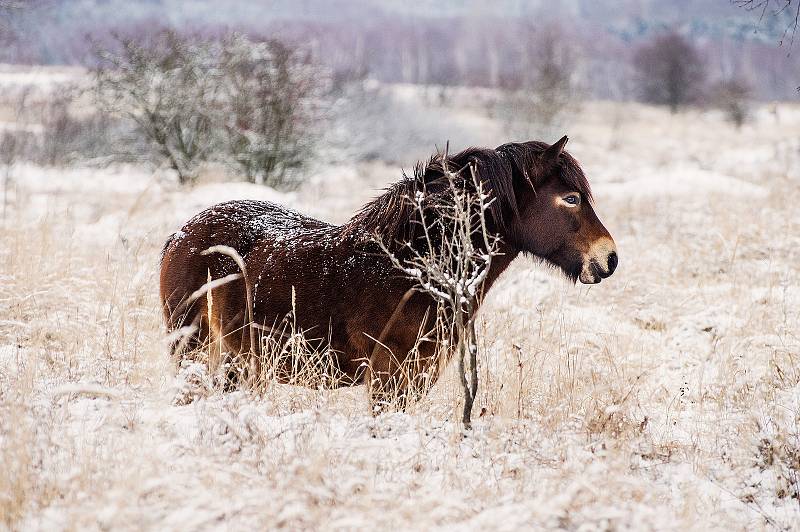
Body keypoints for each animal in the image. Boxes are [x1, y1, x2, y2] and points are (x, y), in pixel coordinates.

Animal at [158, 136, 620, 408]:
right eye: (571, 198)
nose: (609, 258)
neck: (414, 267)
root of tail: (181, 235)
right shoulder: (390, 377)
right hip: (193, 350)